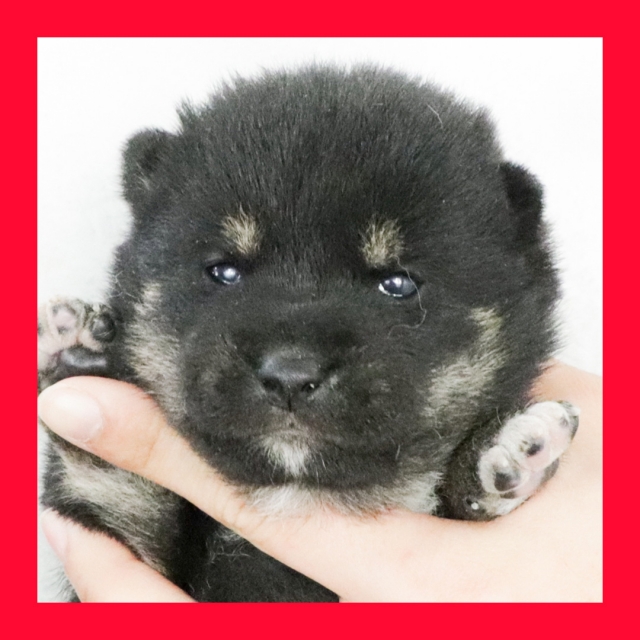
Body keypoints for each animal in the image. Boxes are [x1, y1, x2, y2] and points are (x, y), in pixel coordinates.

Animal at [38, 66, 579, 602]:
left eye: (398, 283)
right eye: (224, 271)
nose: (290, 375)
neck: (293, 497)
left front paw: (503, 451)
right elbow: (115, 490)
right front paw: (80, 360)